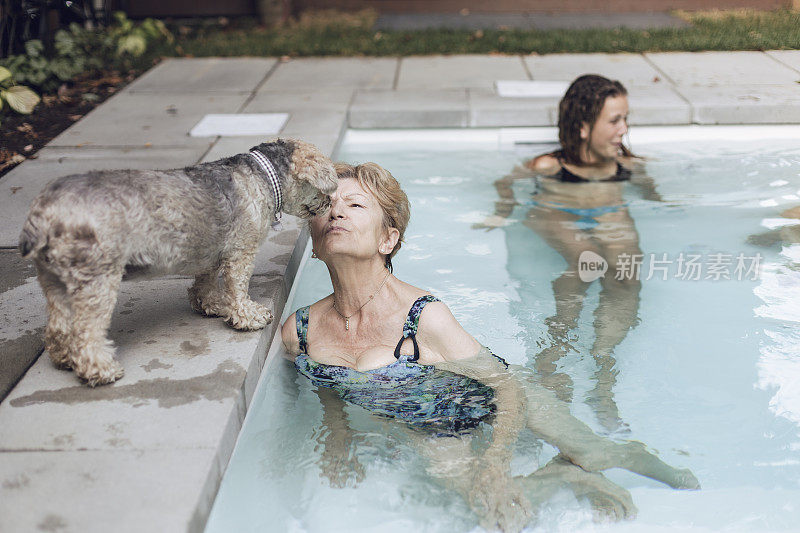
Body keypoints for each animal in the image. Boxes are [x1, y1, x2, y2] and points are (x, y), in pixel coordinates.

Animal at [18, 137, 338, 386]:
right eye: (326, 189)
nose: (329, 205)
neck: (263, 175)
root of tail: (44, 212)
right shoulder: (241, 251)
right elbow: (238, 288)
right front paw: (248, 316)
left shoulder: (212, 253)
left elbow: (205, 284)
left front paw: (211, 305)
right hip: (97, 281)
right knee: (86, 332)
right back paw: (100, 369)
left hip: (54, 281)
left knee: (58, 326)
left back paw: (63, 357)